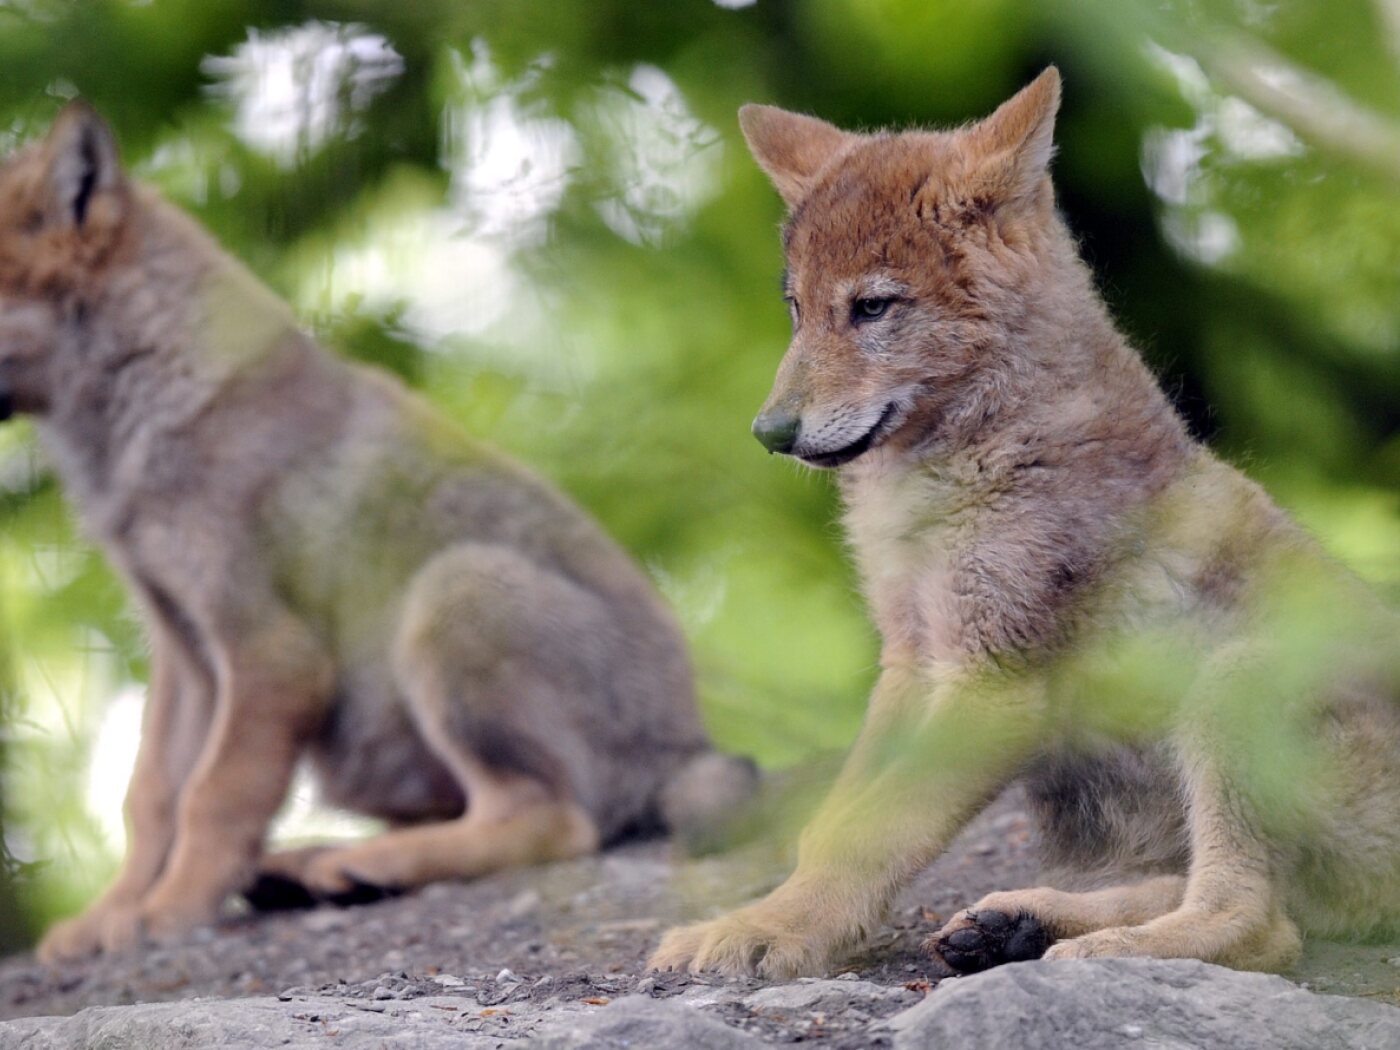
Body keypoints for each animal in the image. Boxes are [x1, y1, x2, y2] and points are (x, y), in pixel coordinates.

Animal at [0, 104, 754, 962]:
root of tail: (686, 747)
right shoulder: (186, 651)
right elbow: (153, 795)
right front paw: (113, 916)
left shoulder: (271, 654)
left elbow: (213, 795)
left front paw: (172, 911)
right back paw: (311, 868)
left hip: (451, 597)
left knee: (552, 821)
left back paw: (367, 865)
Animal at [650, 68, 1400, 978]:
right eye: (796, 307)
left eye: (872, 307)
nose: (770, 432)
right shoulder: (912, 661)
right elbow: (832, 825)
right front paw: (776, 918)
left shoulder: (991, 687)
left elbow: (867, 835)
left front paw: (769, 929)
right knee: (1241, 899)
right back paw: (1021, 923)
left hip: (1234, 681)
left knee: (1259, 924)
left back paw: (1101, 948)